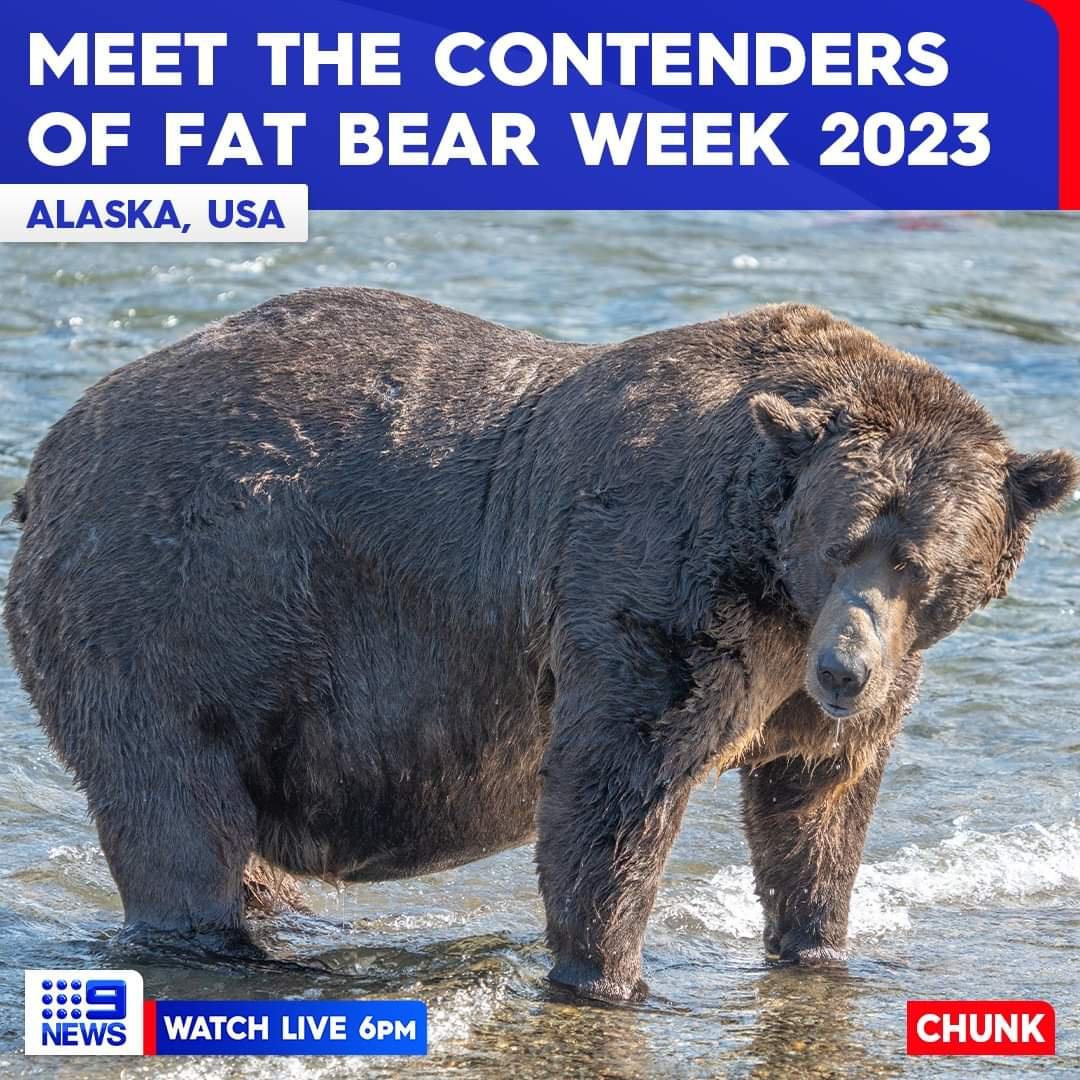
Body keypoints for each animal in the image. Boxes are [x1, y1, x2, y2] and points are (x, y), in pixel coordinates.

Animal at [4, 288, 1076, 1002]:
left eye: (920, 564)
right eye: (843, 541)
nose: (846, 669)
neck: (773, 580)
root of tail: (47, 456)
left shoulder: (813, 681)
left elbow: (817, 803)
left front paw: (818, 947)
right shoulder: (654, 588)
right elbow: (614, 790)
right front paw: (608, 976)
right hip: (174, 604)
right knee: (175, 808)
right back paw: (227, 945)